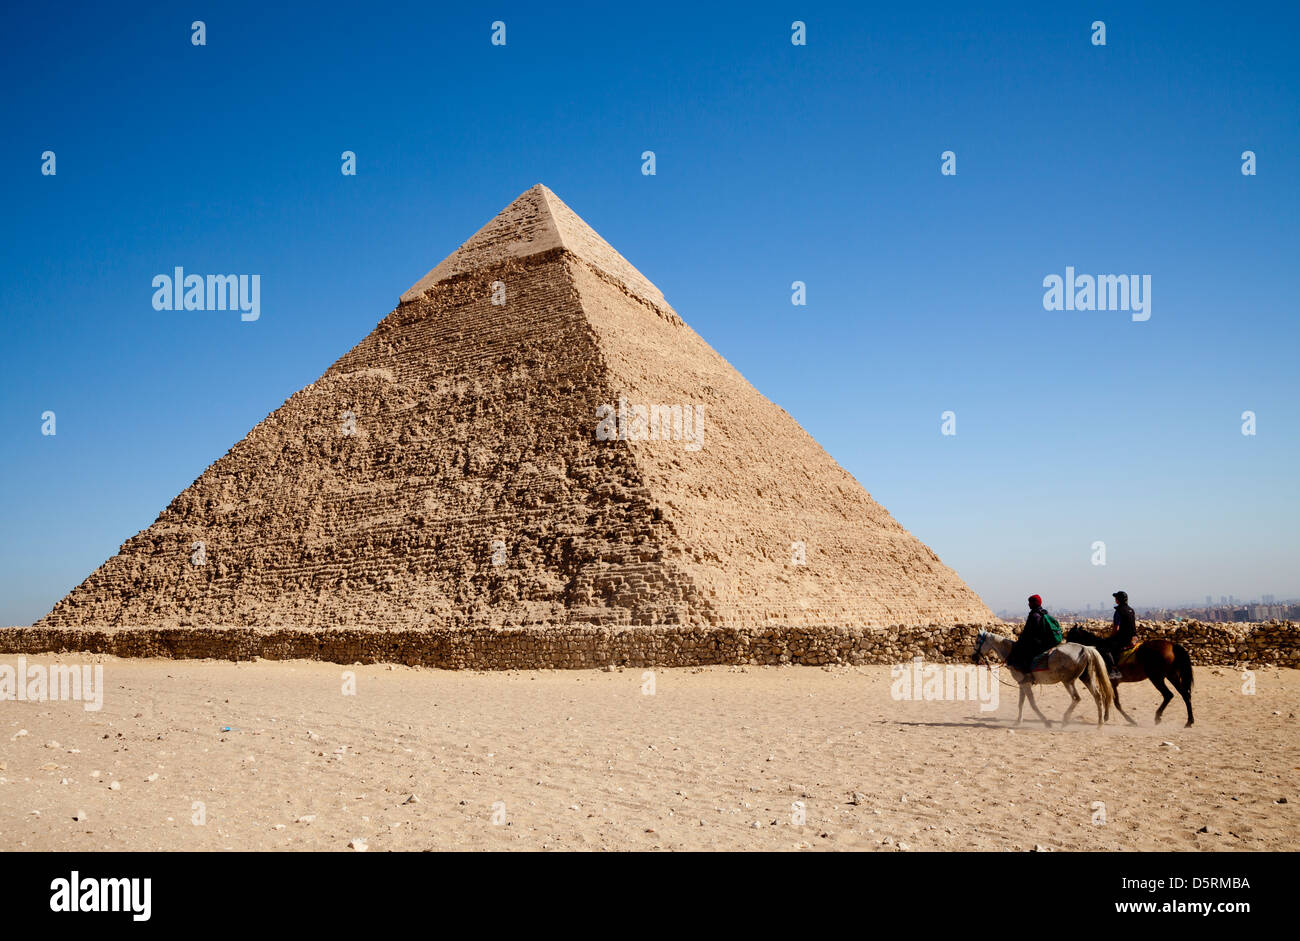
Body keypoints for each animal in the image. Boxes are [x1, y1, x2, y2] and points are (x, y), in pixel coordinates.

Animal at [972, 631, 1112, 727]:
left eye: (978, 641)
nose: (973, 657)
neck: (1013, 653)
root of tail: (1085, 648)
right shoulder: (1022, 684)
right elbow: (1021, 703)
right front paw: (1018, 721)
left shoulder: (1025, 684)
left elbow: (1032, 704)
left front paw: (1046, 722)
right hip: (1086, 678)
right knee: (1098, 696)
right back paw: (1100, 723)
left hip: (1068, 681)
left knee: (1077, 698)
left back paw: (1065, 720)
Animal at [1066, 629, 1196, 733]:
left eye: (1070, 636)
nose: (1067, 650)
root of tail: (1172, 645)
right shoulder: (1111, 684)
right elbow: (1107, 698)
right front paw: (1106, 717)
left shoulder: (1112, 683)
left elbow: (1116, 703)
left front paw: (1130, 720)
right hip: (1171, 676)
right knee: (1185, 694)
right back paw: (1189, 721)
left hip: (1157, 677)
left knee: (1169, 695)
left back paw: (1158, 717)